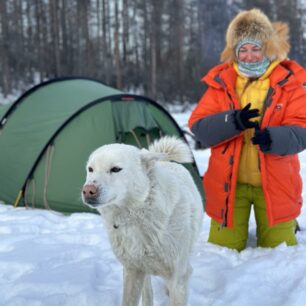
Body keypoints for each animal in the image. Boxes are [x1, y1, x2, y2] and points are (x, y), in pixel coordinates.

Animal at [81, 137, 203, 306]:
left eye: (115, 169)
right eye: (91, 169)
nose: (88, 190)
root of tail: (164, 160)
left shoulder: (179, 277)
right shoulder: (132, 271)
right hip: (142, 269)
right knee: (148, 291)